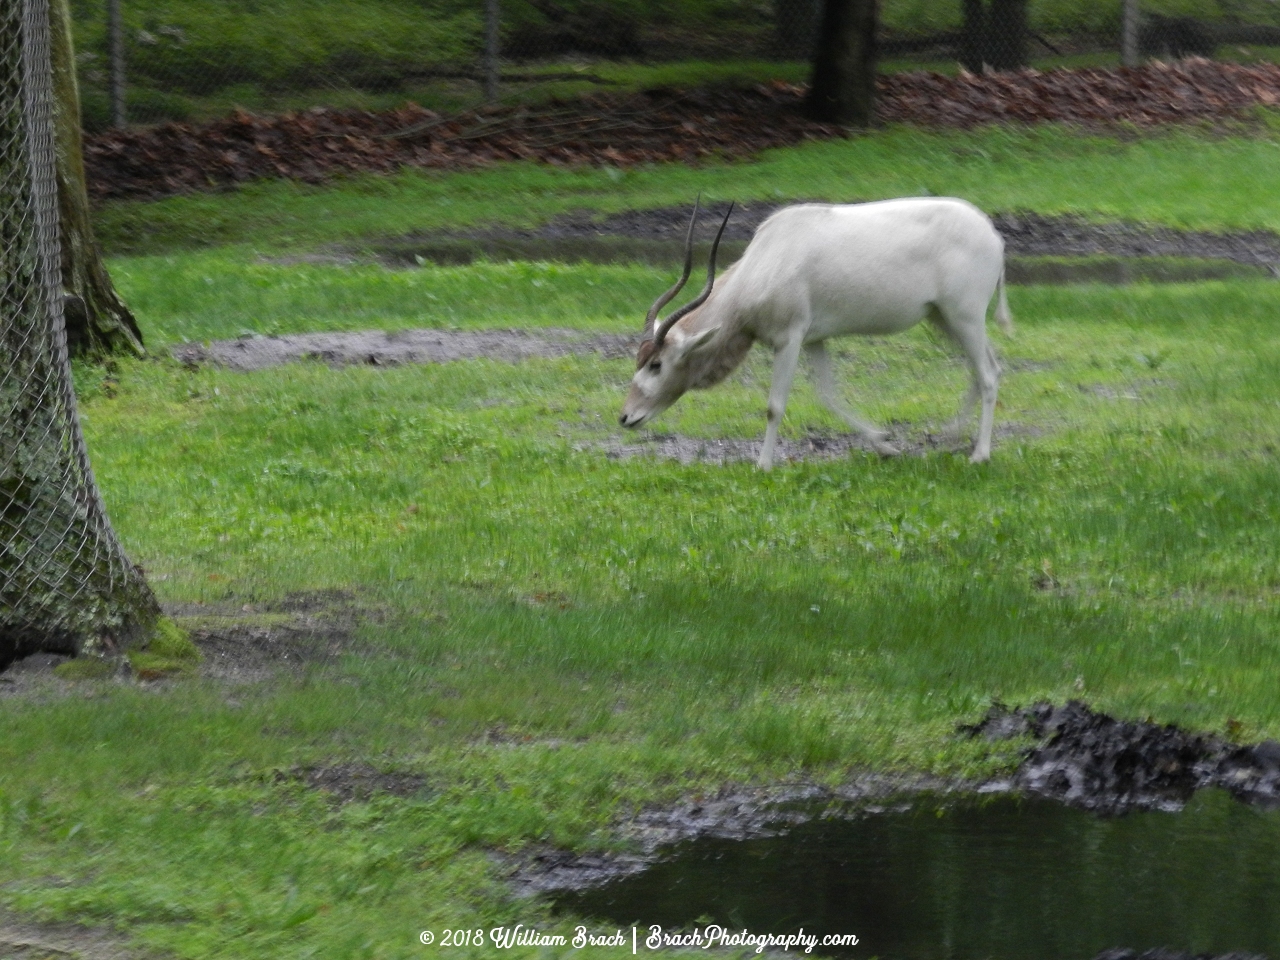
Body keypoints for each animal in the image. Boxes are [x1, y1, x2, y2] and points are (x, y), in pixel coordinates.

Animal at [619, 197, 1008, 468]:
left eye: (656, 364)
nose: (625, 417)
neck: (765, 262)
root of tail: (992, 234)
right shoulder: (814, 340)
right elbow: (828, 395)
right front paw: (885, 444)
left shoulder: (789, 339)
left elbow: (774, 406)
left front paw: (763, 464)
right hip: (943, 318)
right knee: (980, 369)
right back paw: (950, 435)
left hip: (964, 316)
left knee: (988, 373)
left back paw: (980, 455)